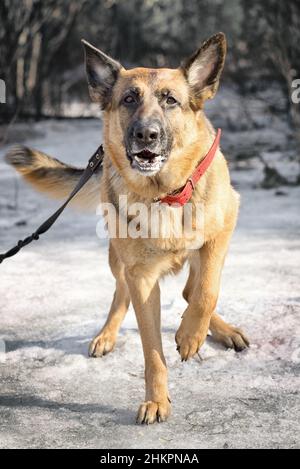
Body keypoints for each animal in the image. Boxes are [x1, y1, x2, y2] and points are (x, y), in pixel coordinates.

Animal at [6, 31, 248, 422]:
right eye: (129, 99)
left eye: (170, 100)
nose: (145, 135)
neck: (165, 194)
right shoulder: (142, 278)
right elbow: (152, 351)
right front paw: (157, 400)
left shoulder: (221, 232)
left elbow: (207, 292)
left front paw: (191, 336)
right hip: (118, 259)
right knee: (124, 292)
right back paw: (107, 334)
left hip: (198, 251)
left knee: (191, 290)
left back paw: (219, 331)